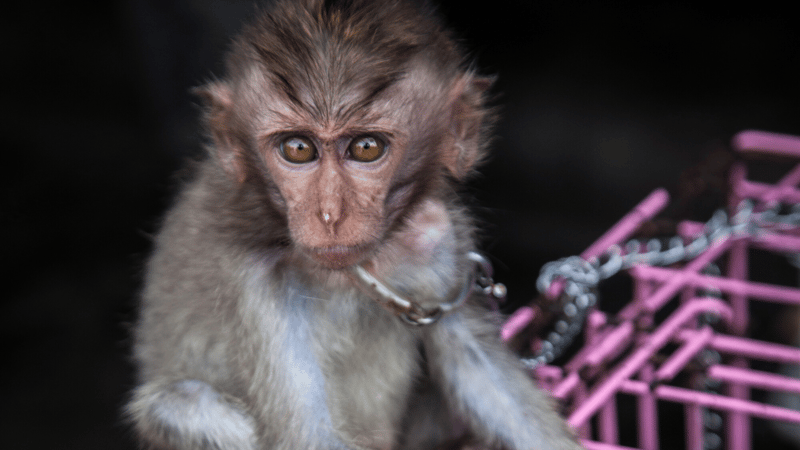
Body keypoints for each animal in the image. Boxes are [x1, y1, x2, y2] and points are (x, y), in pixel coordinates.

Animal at [128, 0, 584, 450]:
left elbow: (477, 366)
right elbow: (307, 436)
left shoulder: (440, 234)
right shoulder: (253, 283)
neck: (343, 275)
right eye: (298, 149)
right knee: (183, 404)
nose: (330, 215)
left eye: (366, 148)